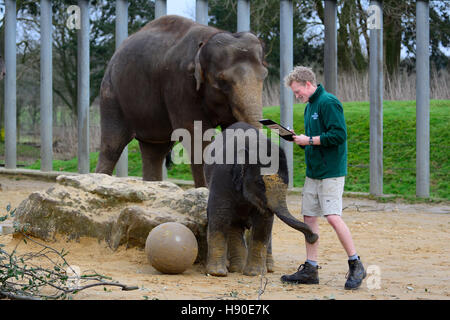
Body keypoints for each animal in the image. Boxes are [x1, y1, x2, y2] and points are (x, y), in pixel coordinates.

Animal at [95, 15, 268, 186]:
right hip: (110, 95)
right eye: (222, 80)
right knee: (112, 145)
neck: (207, 39)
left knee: (155, 150)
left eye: (265, 75)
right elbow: (197, 135)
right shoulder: (179, 85)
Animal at [202, 121, 318, 276]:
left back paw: (267, 268)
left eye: (287, 184)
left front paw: (254, 273)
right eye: (260, 184)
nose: (314, 237)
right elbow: (220, 214)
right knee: (233, 222)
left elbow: (264, 222)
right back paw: (238, 268)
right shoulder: (222, 177)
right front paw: (217, 273)